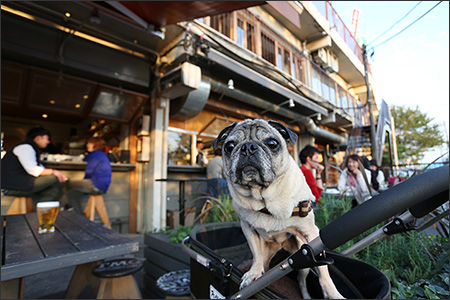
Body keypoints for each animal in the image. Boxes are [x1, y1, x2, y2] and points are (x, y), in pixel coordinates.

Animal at [213, 118, 342, 298]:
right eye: (229, 146)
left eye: (272, 144)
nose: (248, 147)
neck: (263, 197)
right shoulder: (247, 228)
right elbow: (256, 254)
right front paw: (253, 273)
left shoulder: (311, 235)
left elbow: (323, 273)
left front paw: (332, 292)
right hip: (269, 256)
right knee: (265, 264)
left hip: (302, 258)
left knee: (302, 280)